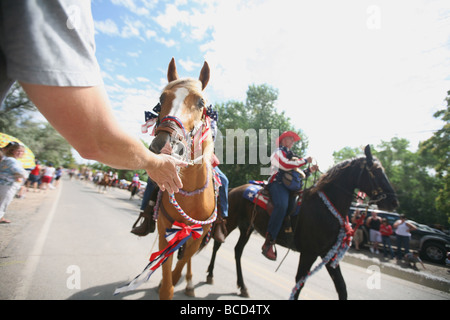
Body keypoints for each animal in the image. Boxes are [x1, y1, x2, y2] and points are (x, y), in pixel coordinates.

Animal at [206, 146, 400, 298]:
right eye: (376, 171)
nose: (393, 202)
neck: (325, 207)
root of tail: (235, 189)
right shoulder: (309, 253)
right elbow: (299, 282)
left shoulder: (328, 254)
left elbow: (341, 287)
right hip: (230, 222)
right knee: (217, 243)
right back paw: (210, 275)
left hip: (246, 228)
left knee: (237, 251)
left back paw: (243, 287)